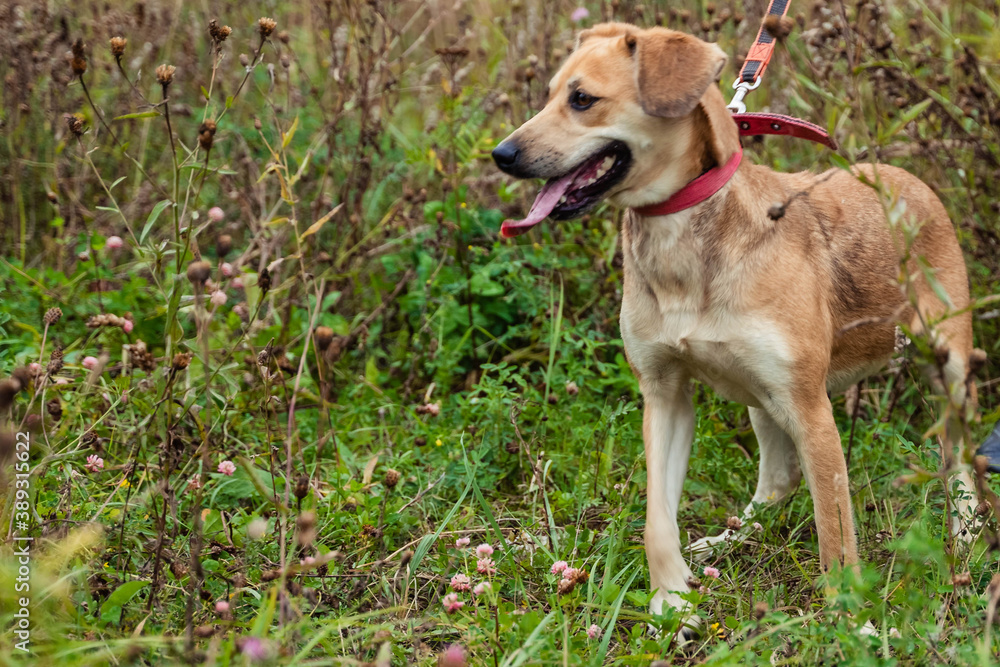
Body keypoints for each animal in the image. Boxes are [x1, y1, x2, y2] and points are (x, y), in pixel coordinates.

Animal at [492, 20, 976, 628]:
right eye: (551, 94)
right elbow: (657, 519)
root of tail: (910, 180)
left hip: (945, 369)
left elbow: (836, 535)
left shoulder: (811, 410)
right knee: (777, 483)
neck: (681, 241)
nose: (501, 154)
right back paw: (729, 538)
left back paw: (969, 534)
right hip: (759, 397)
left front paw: (851, 622)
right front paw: (671, 600)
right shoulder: (665, 395)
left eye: (582, 99)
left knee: (960, 457)